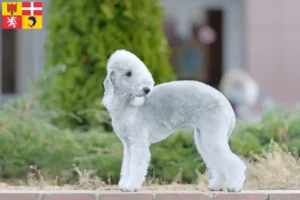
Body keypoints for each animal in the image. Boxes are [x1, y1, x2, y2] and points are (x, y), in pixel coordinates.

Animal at [102, 49, 247, 192]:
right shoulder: (128, 144)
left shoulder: (138, 141)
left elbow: (136, 165)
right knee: (216, 162)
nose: (146, 89)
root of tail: (228, 104)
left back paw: (235, 187)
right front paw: (123, 185)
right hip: (203, 138)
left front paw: (130, 186)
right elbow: (126, 165)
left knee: (234, 163)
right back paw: (215, 186)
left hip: (213, 133)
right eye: (128, 73)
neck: (127, 104)